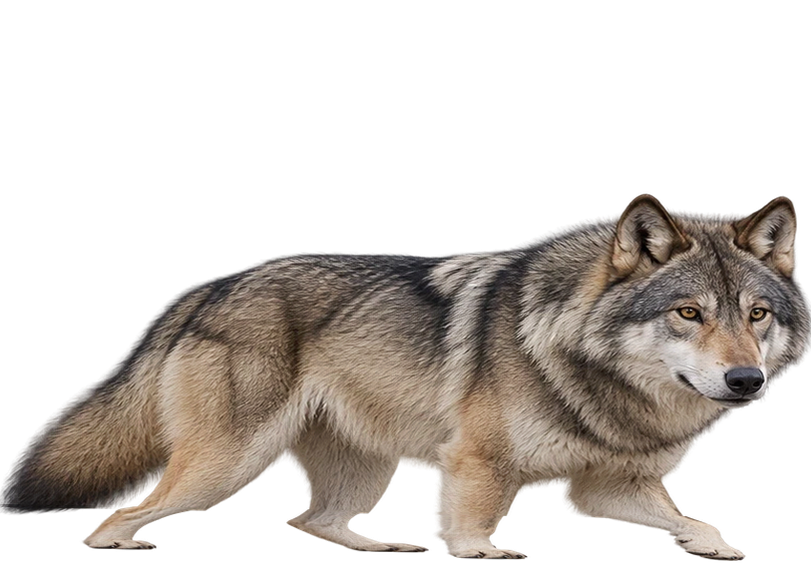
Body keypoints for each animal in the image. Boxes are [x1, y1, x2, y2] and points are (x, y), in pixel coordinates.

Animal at [1, 194, 809, 559]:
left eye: (758, 314)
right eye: (687, 312)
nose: (744, 380)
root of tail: (206, 288)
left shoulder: (599, 489)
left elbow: (691, 519)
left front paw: (714, 545)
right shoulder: (476, 463)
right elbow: (471, 526)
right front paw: (479, 552)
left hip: (366, 468)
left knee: (309, 519)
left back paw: (380, 544)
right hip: (224, 465)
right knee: (115, 517)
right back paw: (127, 543)